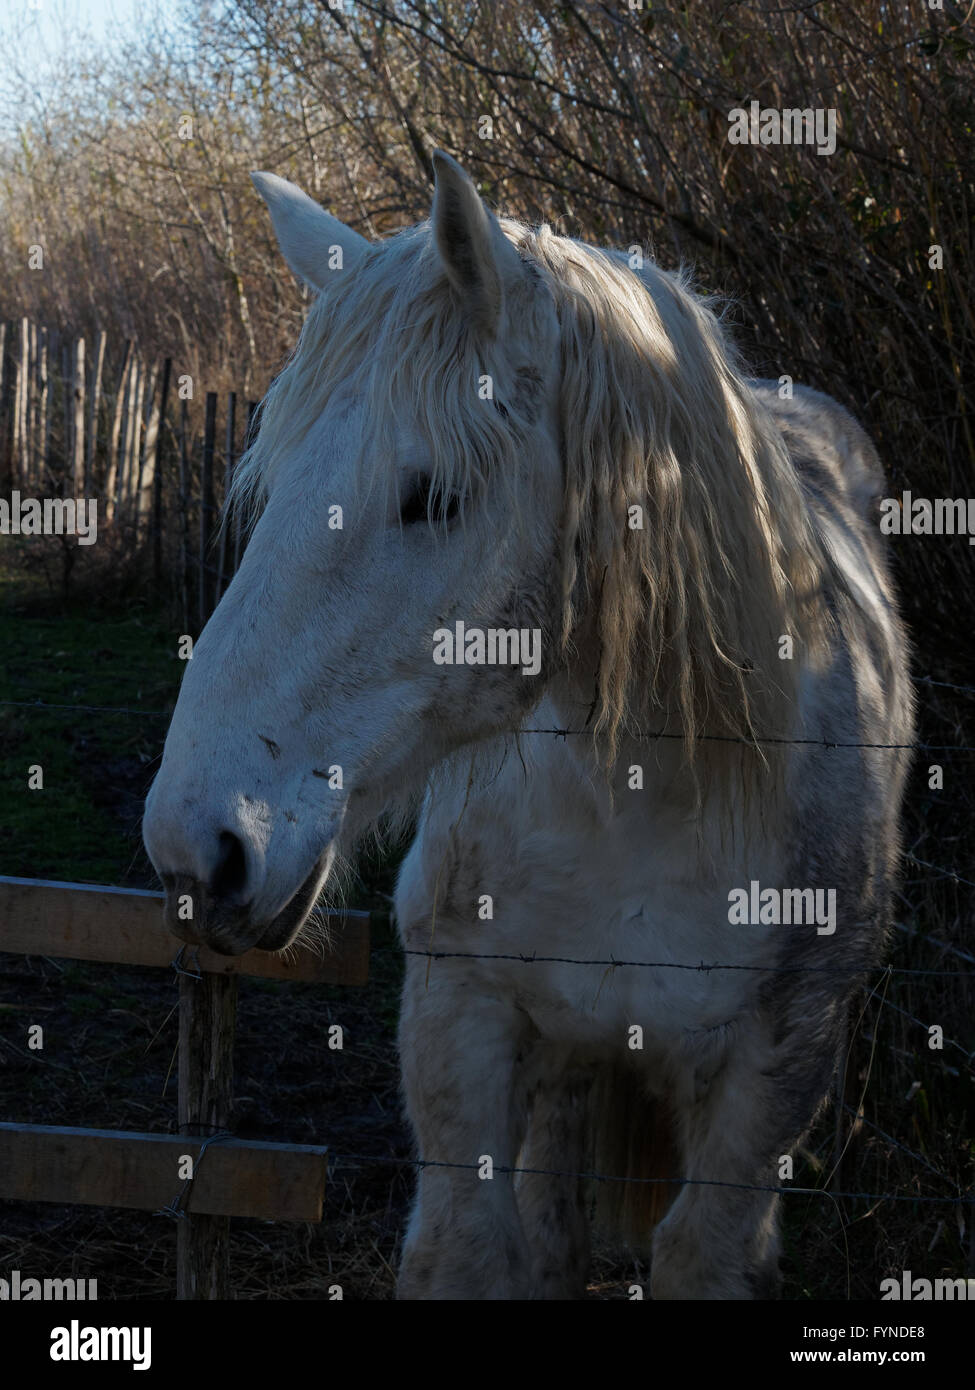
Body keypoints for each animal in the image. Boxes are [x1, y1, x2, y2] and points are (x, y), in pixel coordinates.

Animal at [142, 154, 912, 1301]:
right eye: (270, 487)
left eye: (433, 495)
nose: (197, 849)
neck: (644, 799)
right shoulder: (463, 1016)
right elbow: (473, 1247)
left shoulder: (773, 1072)